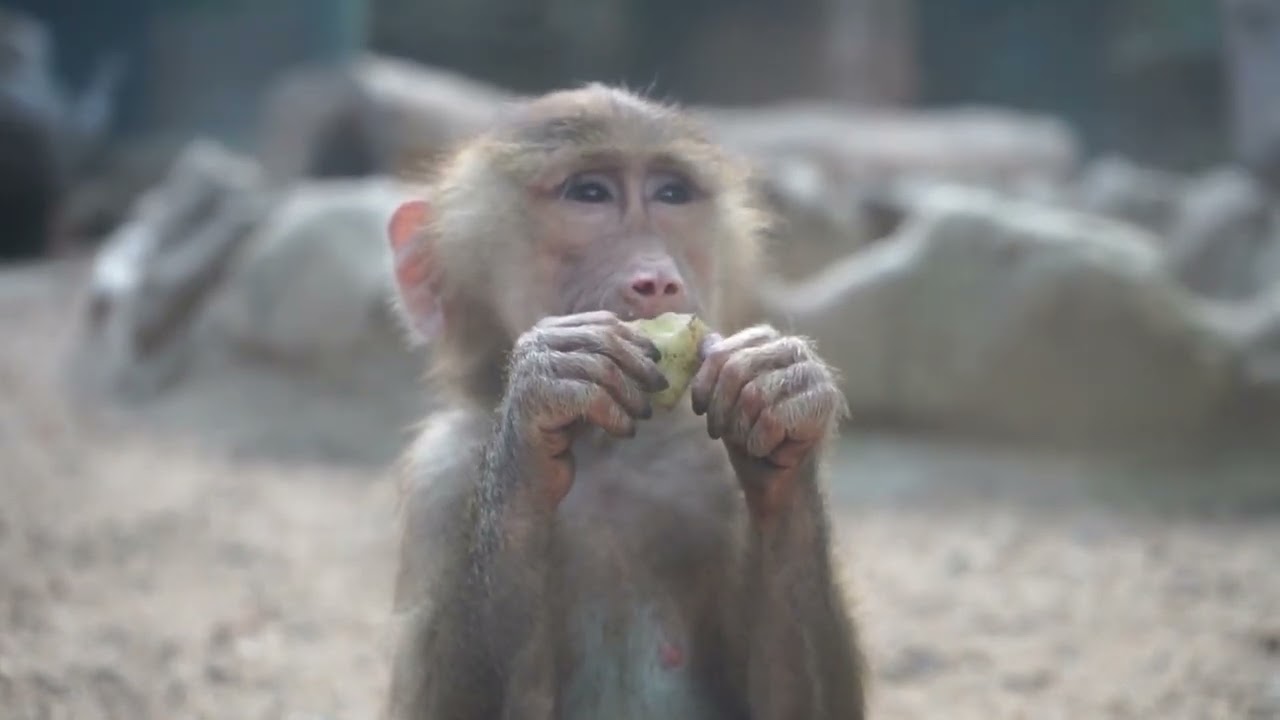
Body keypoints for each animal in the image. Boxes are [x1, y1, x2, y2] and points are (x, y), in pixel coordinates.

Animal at [384, 83, 866, 719]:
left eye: (671, 194)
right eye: (590, 193)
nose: (656, 279)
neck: (611, 452)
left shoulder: (704, 466)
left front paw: (784, 399)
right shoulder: (440, 476)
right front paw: (538, 406)